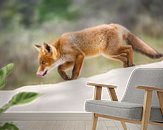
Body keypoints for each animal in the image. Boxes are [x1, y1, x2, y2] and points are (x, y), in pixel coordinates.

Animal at [34, 23, 163, 80]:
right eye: (40, 63)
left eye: (43, 62)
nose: (37, 73)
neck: (61, 47)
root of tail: (114, 24)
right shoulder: (71, 60)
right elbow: (59, 68)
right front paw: (65, 77)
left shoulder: (79, 56)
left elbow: (75, 71)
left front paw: (73, 80)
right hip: (109, 54)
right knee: (124, 56)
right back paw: (127, 66)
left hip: (111, 51)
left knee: (129, 48)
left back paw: (130, 65)